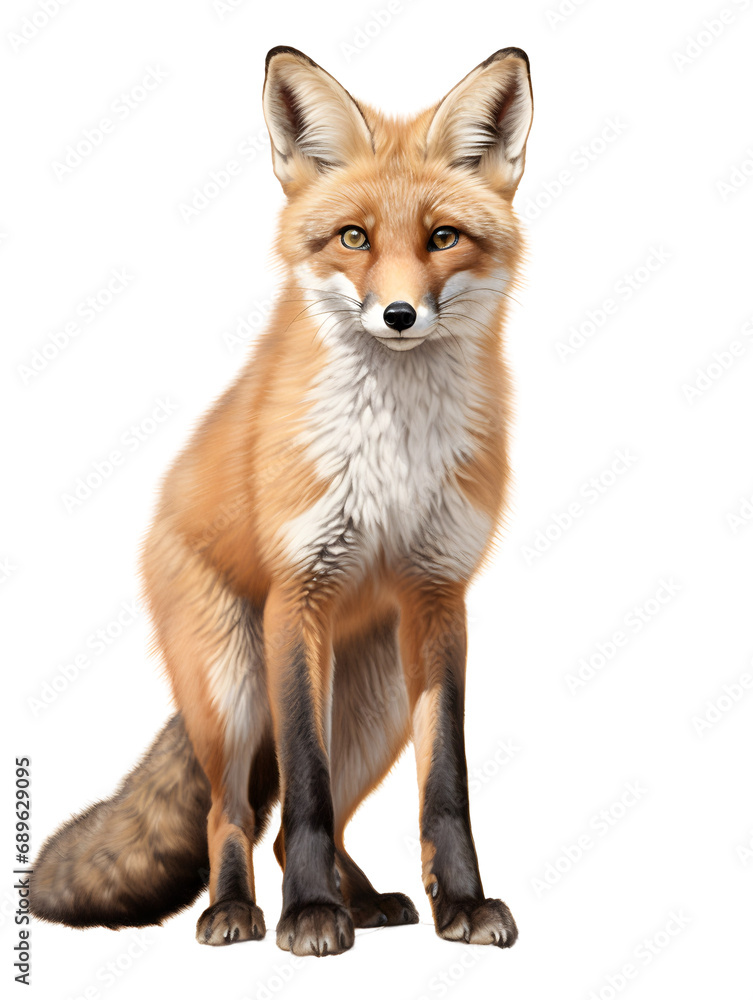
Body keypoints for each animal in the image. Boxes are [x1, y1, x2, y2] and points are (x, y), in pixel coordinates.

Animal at [30, 44, 534, 957]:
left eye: (442, 237)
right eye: (353, 237)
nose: (398, 314)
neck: (393, 454)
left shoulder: (439, 599)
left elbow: (445, 789)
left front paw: (463, 904)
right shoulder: (297, 594)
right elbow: (302, 788)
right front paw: (307, 916)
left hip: (375, 708)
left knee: (321, 822)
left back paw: (364, 900)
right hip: (234, 689)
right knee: (232, 817)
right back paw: (238, 909)